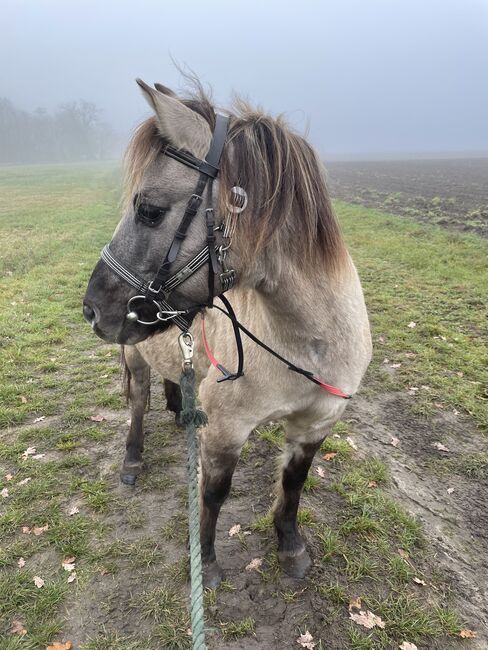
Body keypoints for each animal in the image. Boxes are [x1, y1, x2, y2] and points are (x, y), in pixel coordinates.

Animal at [84, 78, 372, 584]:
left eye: (150, 210)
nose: (92, 309)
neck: (307, 346)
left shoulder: (316, 424)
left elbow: (294, 485)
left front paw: (290, 547)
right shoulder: (225, 430)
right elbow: (214, 494)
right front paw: (208, 563)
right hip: (134, 358)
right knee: (137, 402)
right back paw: (133, 458)